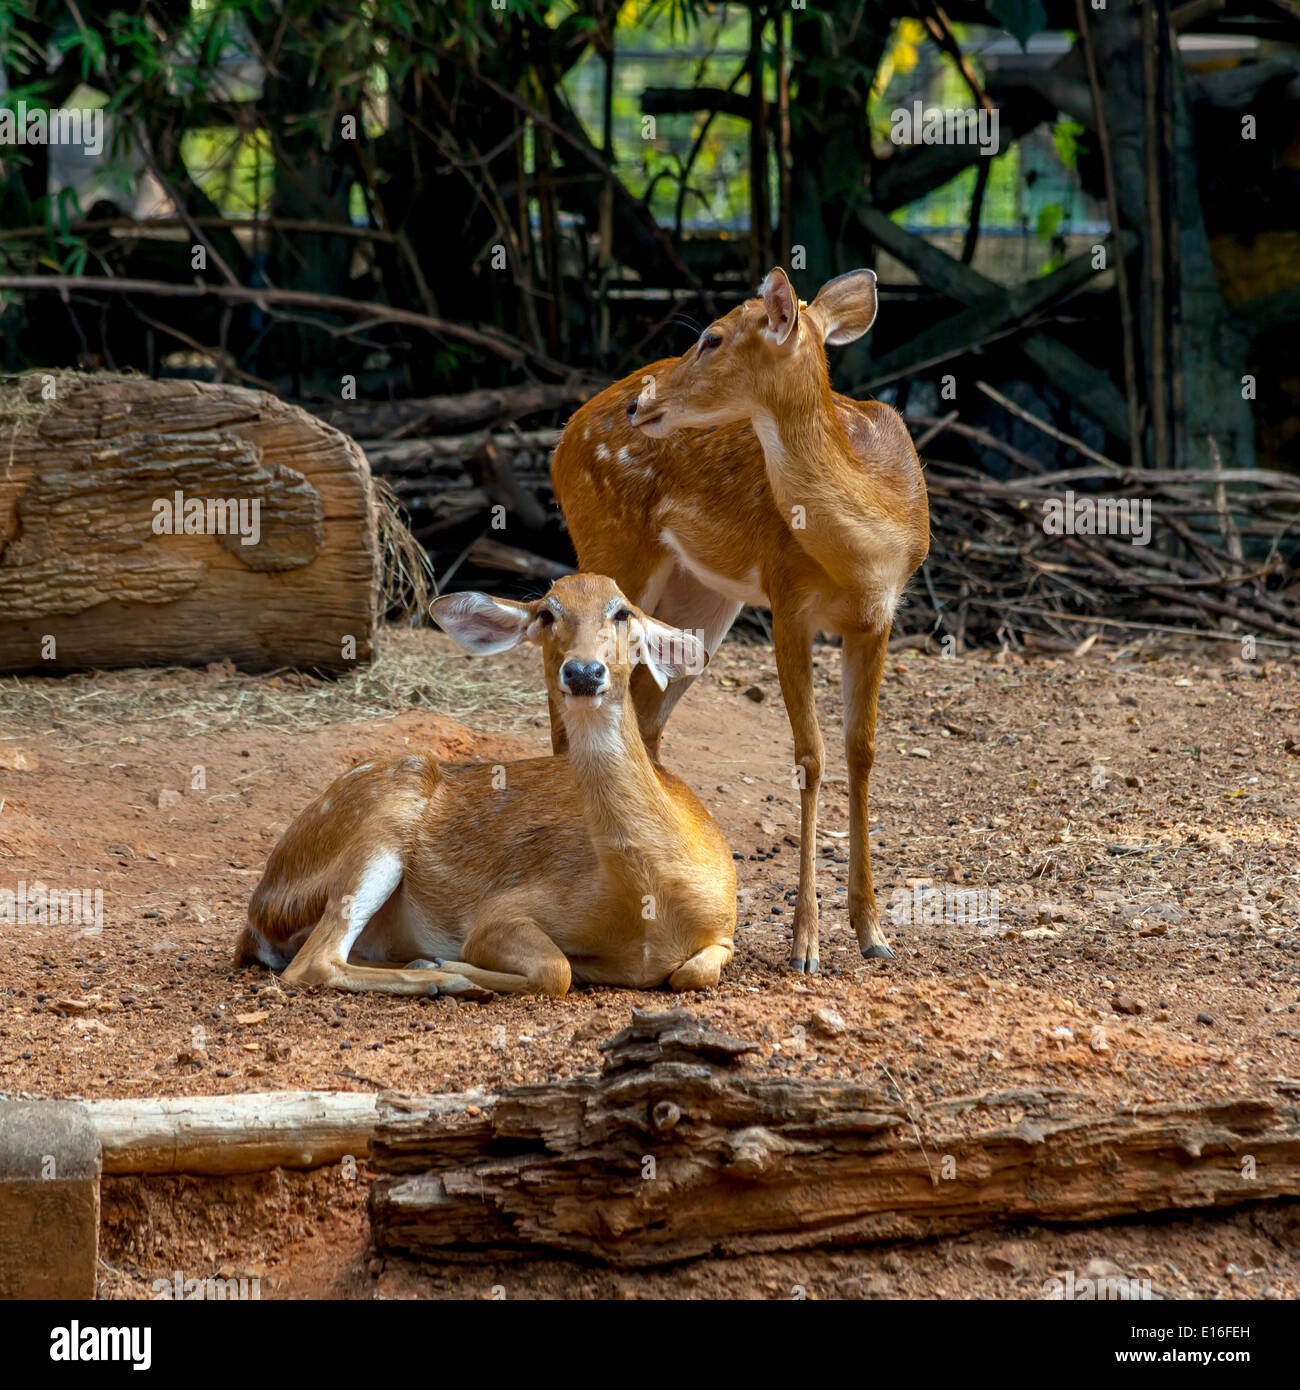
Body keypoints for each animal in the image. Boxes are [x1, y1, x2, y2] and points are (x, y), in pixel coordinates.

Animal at [234, 575, 739, 1000]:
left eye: (623, 612)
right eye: (546, 613)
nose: (583, 671)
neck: (652, 905)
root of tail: (259, 914)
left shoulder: (725, 929)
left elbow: (694, 971)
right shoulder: (500, 913)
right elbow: (556, 970)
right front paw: (453, 963)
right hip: (385, 817)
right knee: (311, 963)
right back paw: (446, 977)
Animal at [553, 265, 928, 973]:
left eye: (713, 337)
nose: (640, 406)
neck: (864, 548)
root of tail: (563, 436)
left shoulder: (880, 615)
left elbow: (861, 751)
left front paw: (873, 932)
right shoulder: (787, 601)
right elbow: (809, 757)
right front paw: (805, 945)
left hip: (699, 602)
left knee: (647, 714)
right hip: (611, 545)